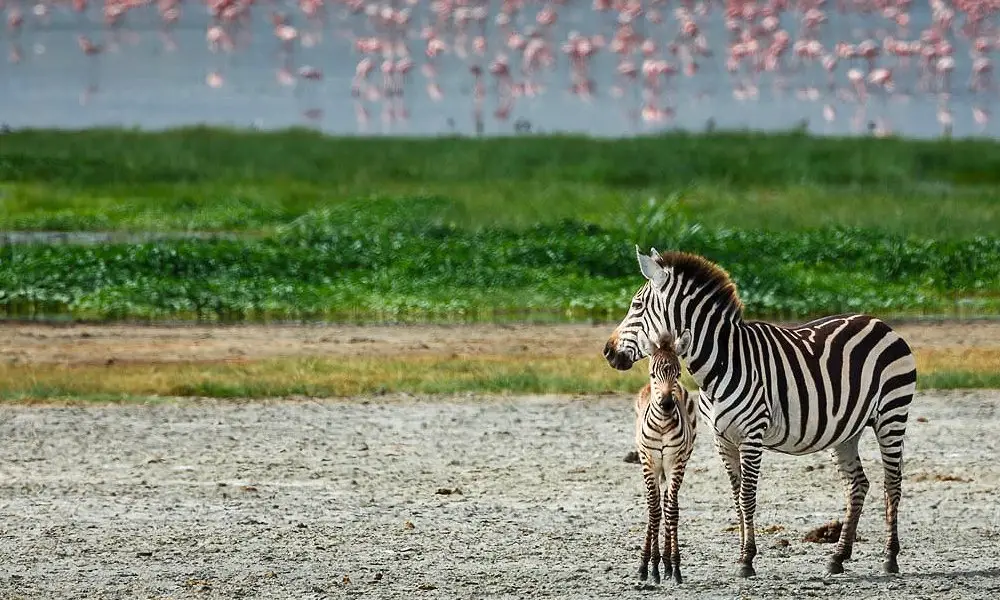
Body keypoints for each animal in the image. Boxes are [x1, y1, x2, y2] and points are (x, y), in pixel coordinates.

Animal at [632, 330, 696, 584]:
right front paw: (648, 566)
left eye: (678, 373)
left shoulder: (675, 462)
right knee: (656, 506)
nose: (668, 404)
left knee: (668, 504)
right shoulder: (649, 462)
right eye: (653, 374)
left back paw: (667, 565)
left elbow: (671, 511)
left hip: (679, 462)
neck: (661, 424)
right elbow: (653, 510)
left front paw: (673, 566)